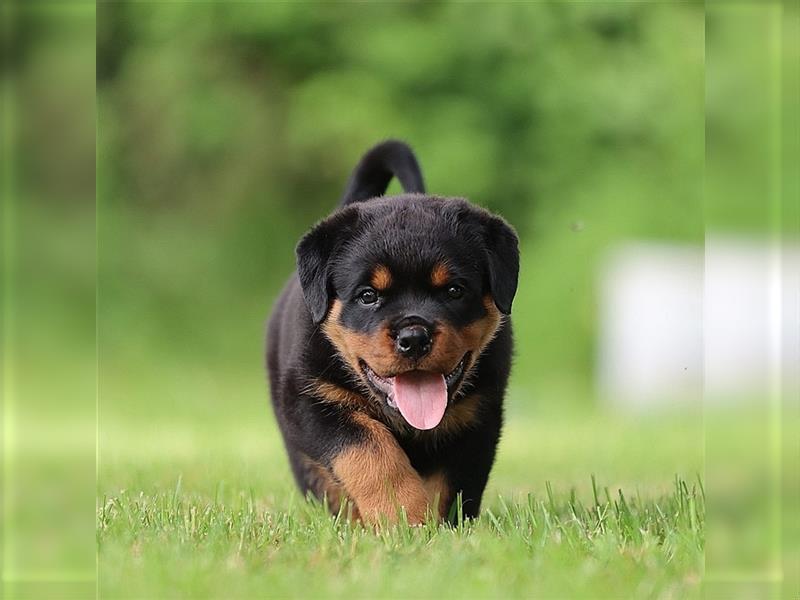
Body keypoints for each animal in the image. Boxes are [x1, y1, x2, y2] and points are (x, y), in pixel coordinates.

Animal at [266, 141, 520, 524]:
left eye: (454, 291)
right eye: (368, 295)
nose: (414, 337)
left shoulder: (477, 416)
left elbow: (453, 486)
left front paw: (438, 527)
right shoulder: (310, 400)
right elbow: (372, 453)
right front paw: (404, 517)